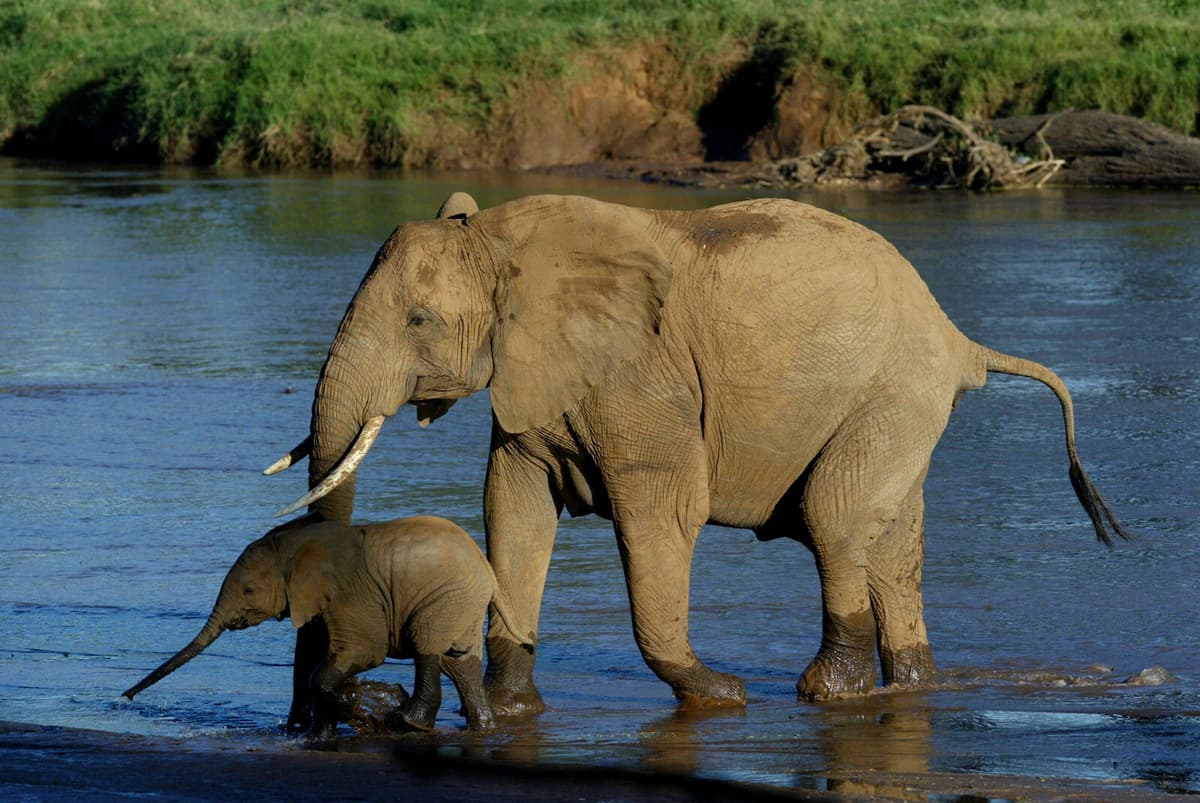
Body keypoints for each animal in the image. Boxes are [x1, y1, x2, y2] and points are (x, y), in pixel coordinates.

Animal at [123, 514, 528, 734]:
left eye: (249, 590)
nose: (126, 697)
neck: (295, 545)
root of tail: (488, 571)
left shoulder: (353, 594)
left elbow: (363, 652)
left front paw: (353, 708)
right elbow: (319, 659)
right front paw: (322, 732)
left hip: (446, 596)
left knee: (428, 646)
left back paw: (408, 722)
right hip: (461, 602)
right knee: (459, 662)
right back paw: (482, 729)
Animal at [265, 192, 1131, 716]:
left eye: (418, 321)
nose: (323, 712)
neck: (504, 238)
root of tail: (959, 340)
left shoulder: (643, 378)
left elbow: (660, 513)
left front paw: (720, 695)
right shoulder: (533, 381)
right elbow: (513, 509)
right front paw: (514, 709)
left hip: (894, 395)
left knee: (835, 518)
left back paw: (827, 694)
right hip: (899, 407)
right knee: (891, 543)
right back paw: (909, 684)